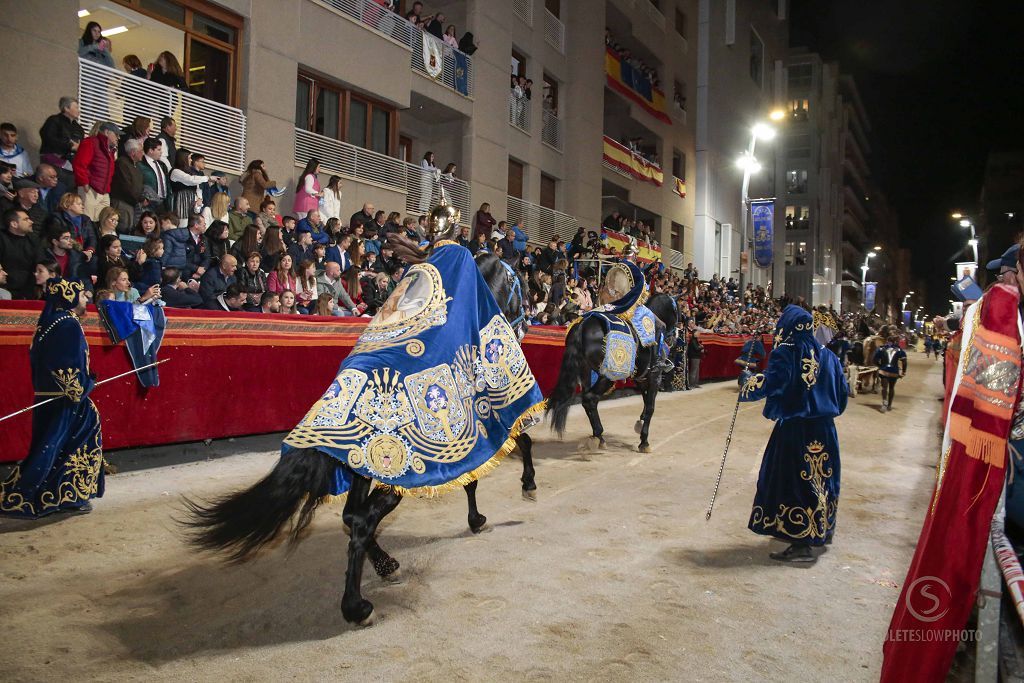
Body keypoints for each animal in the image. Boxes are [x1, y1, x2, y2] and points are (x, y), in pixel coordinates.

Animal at [185, 245, 536, 626]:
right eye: (519, 285)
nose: (525, 323)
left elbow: (472, 476)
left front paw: (479, 517)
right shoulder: (486, 413)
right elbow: (517, 443)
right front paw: (524, 487)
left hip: (360, 468)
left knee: (352, 516)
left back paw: (385, 566)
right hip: (389, 471)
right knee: (362, 520)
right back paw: (357, 605)